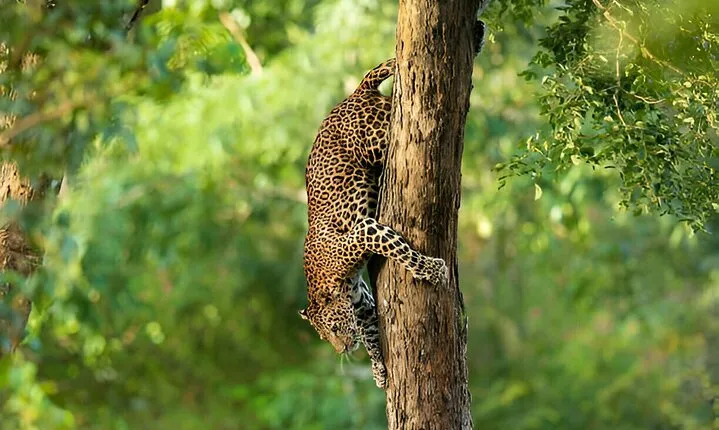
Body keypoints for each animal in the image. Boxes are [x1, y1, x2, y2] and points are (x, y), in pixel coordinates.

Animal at [299, 20, 486, 390]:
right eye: (325, 337)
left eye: (332, 329)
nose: (343, 349)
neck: (334, 284)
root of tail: (354, 93)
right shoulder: (363, 302)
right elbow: (371, 334)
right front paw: (378, 371)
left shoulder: (364, 231)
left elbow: (401, 251)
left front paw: (432, 269)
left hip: (377, 138)